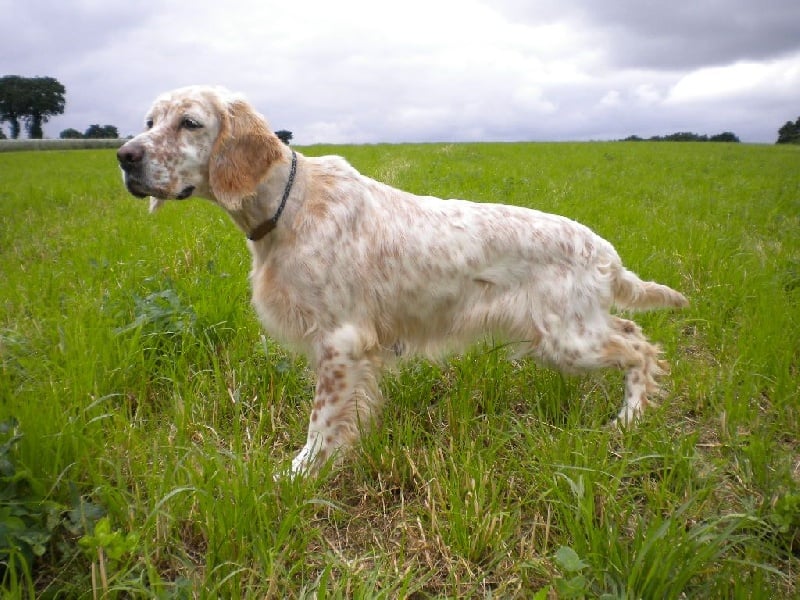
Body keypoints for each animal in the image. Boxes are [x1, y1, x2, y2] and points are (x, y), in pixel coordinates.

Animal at [117, 85, 688, 478]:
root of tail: (604, 251)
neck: (290, 203)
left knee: (642, 349)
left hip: (568, 339)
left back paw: (628, 421)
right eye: (149, 121)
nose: (125, 156)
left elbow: (320, 423)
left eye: (190, 122)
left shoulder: (341, 342)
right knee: (634, 333)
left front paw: (297, 475)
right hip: (573, 332)